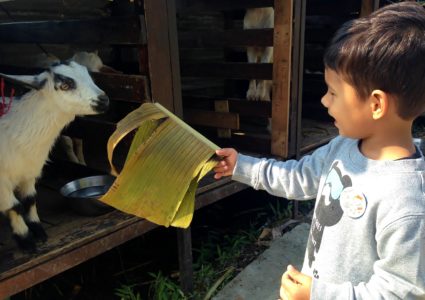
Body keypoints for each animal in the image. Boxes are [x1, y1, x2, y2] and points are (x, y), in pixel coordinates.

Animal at [0, 61, 109, 251]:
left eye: (88, 75)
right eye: (64, 86)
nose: (104, 100)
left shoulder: (29, 171)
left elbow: (30, 200)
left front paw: (39, 233)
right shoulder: (2, 180)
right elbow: (15, 207)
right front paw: (26, 241)